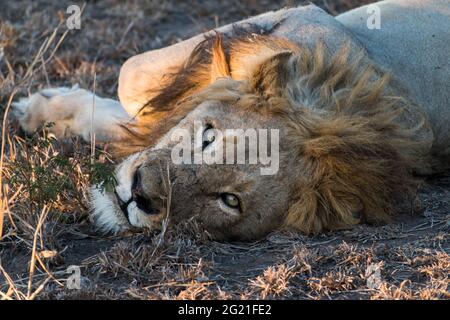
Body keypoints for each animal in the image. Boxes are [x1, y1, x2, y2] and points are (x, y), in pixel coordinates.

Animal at [12, 0, 450, 240]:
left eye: (229, 201)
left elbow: (136, 105)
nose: (139, 194)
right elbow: (132, 85)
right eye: (208, 137)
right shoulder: (293, 20)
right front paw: (42, 111)